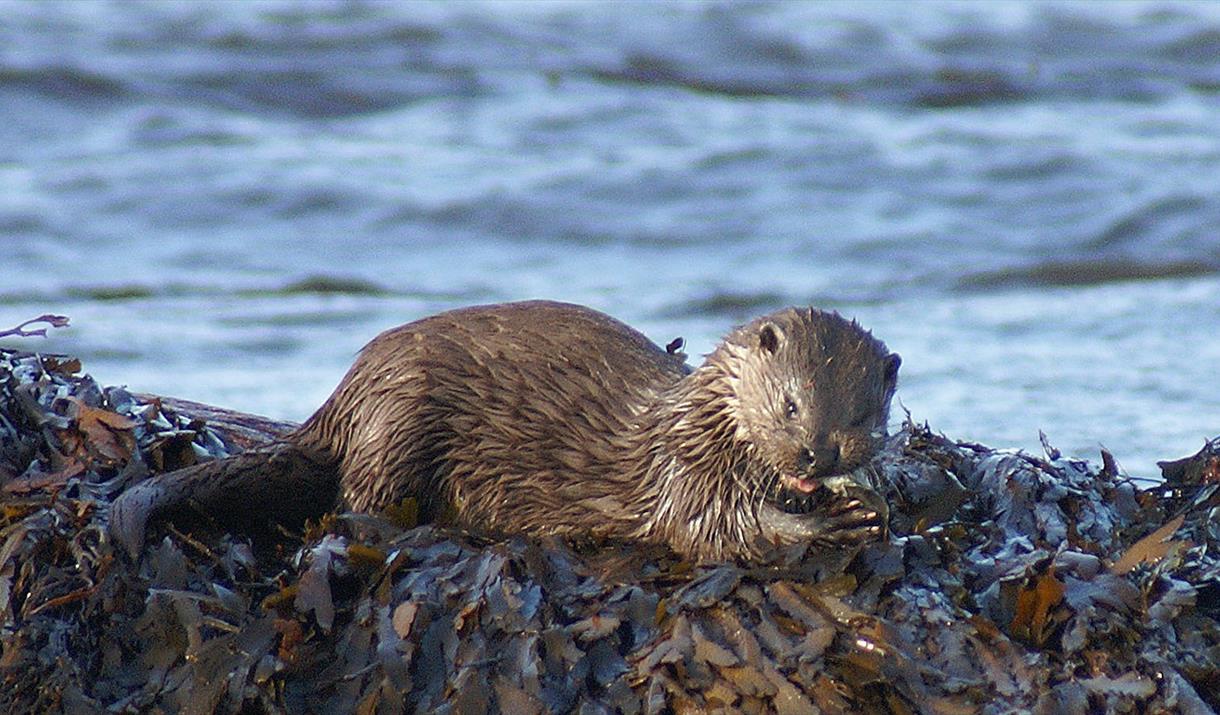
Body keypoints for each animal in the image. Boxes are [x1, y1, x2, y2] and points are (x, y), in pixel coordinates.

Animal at [112, 297, 897, 558]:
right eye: (790, 403)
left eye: (862, 416)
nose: (814, 453)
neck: (698, 421)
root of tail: (351, 388)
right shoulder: (684, 469)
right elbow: (716, 529)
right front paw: (828, 523)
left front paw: (862, 500)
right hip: (399, 422)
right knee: (353, 501)